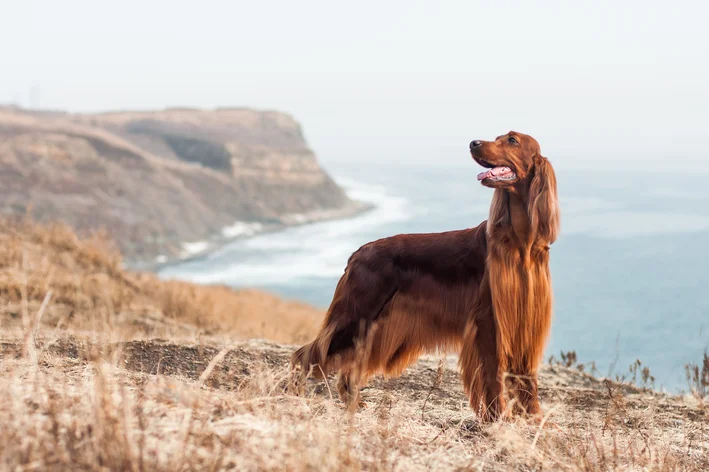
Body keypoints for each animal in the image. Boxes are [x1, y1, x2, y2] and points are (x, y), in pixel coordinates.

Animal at [292, 132, 560, 420]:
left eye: (512, 140)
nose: (473, 143)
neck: (520, 244)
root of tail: (358, 252)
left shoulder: (527, 319)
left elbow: (526, 378)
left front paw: (534, 419)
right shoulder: (490, 320)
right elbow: (493, 375)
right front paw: (497, 418)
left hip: (372, 325)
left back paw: (353, 402)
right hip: (356, 314)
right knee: (305, 354)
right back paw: (293, 394)